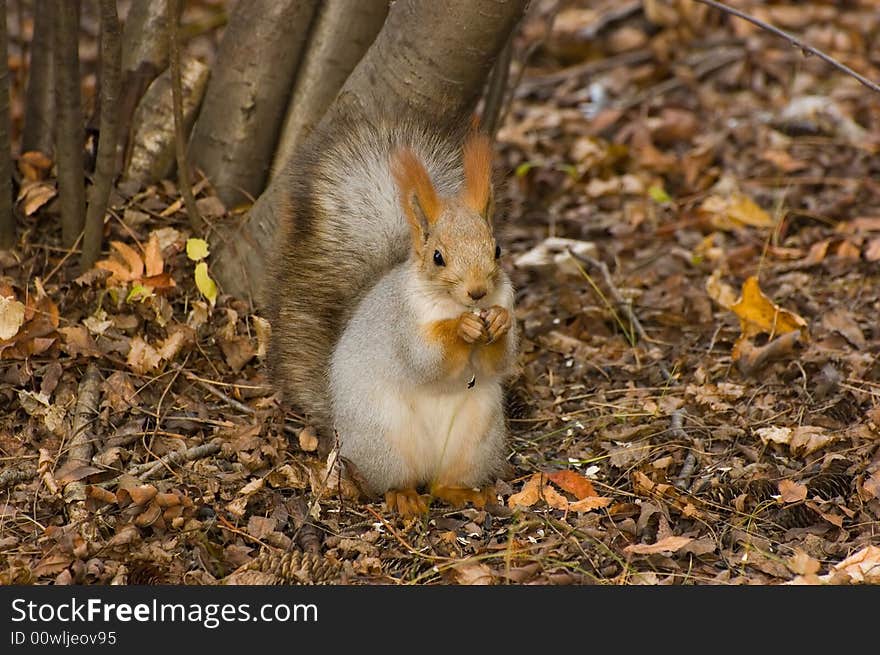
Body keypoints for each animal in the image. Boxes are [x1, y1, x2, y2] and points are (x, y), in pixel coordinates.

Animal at [264, 119, 520, 516]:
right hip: (385, 439)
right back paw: (404, 496)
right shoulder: (402, 324)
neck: (450, 304)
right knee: (392, 483)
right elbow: (425, 361)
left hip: (476, 440)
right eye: (438, 257)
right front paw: (460, 329)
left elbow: (500, 360)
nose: (478, 292)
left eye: (497, 249)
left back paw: (462, 492)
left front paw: (498, 322)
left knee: (443, 483)